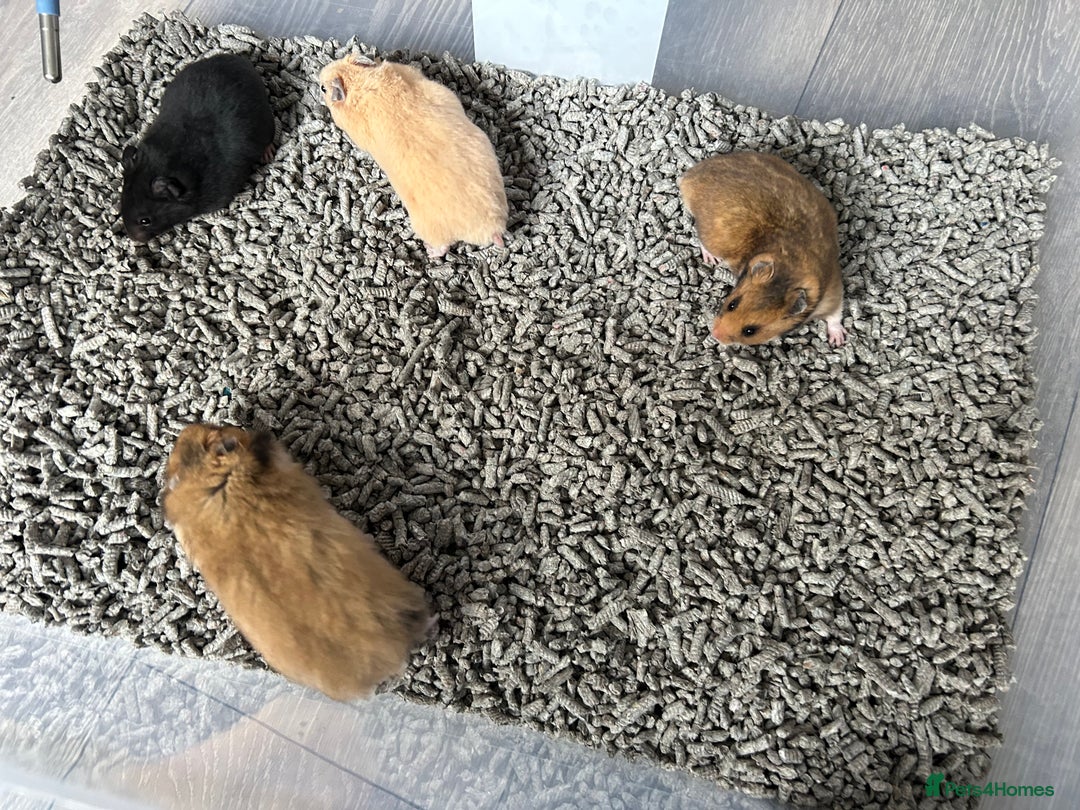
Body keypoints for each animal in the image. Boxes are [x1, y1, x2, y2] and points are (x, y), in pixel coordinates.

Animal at [318, 54, 508, 259]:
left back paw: (430, 252)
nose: (319, 73)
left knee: (443, 247)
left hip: (428, 229)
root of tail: (492, 228)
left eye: (323, 88)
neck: (359, 83)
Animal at [679, 151, 847, 347]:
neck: (791, 269)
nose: (714, 334)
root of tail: (688, 177)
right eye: (732, 304)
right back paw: (711, 259)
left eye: (750, 331)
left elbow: (835, 315)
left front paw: (838, 341)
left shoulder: (832, 292)